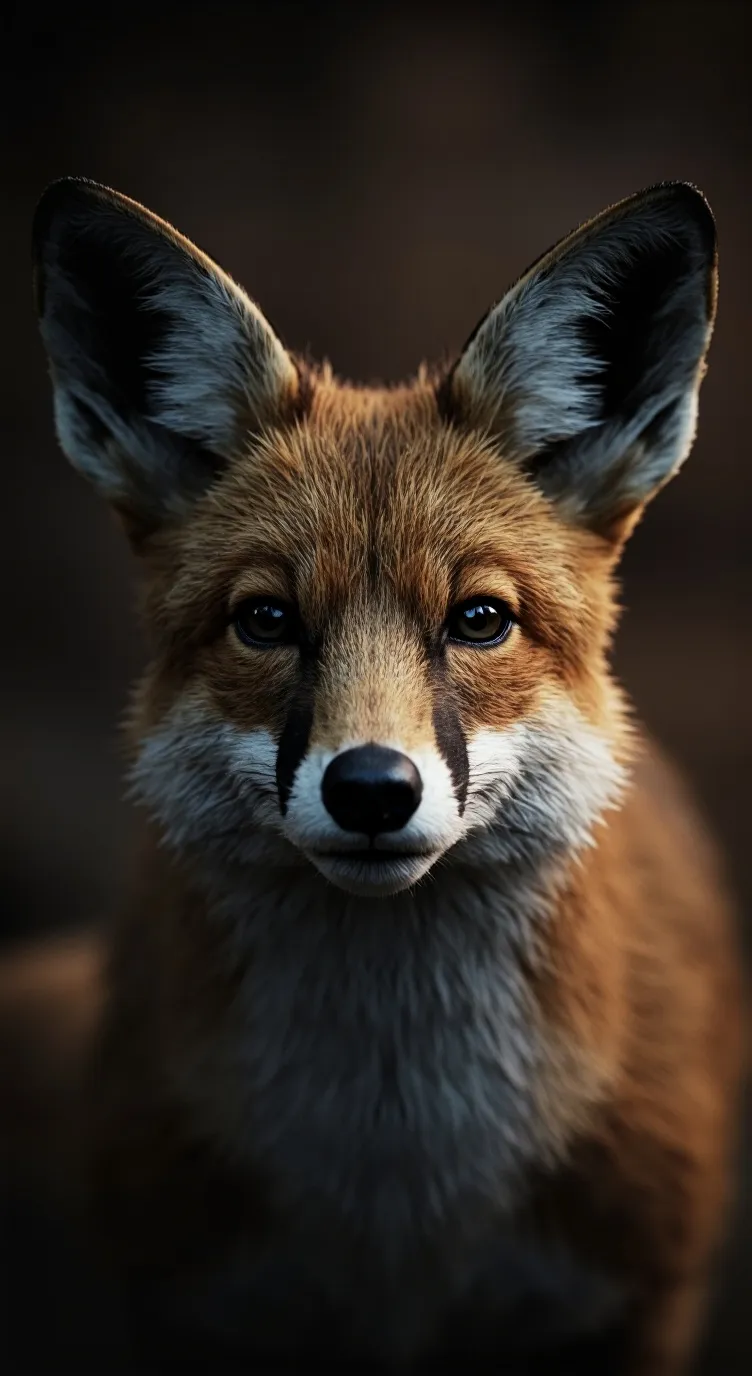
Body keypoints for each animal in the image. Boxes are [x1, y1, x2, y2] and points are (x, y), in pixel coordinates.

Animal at [0, 177, 744, 1374]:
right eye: (266, 621)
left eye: (479, 620)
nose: (371, 789)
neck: (397, 1200)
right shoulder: (189, 1299)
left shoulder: (634, 1299)